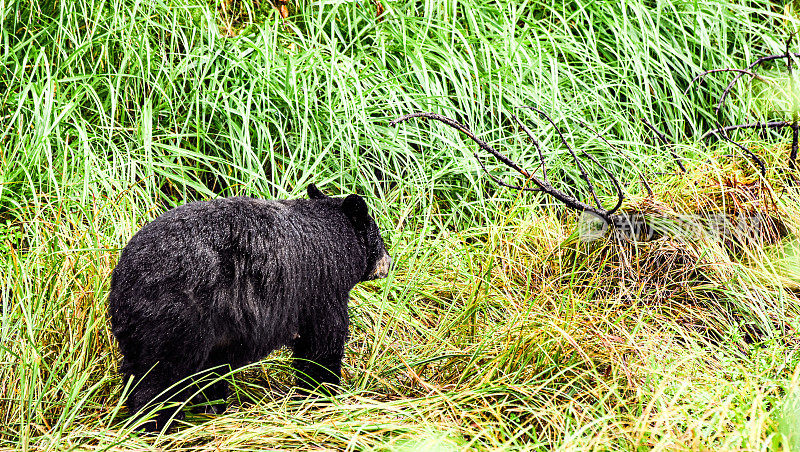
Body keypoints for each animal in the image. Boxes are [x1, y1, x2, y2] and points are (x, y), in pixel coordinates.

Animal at [108, 184, 390, 430]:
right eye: (378, 236)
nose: (389, 262)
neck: (332, 239)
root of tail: (125, 276)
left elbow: (214, 370)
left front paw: (214, 406)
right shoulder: (318, 290)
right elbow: (321, 344)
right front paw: (323, 394)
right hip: (177, 317)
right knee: (159, 379)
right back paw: (153, 425)